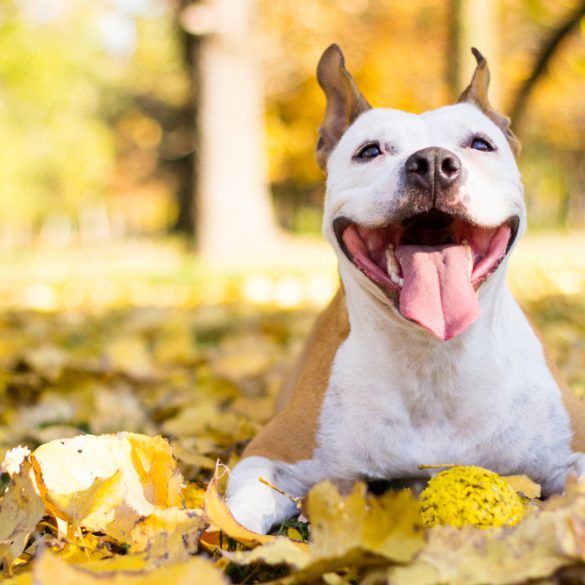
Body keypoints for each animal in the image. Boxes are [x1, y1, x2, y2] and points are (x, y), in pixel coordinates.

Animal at [224, 43, 584, 532]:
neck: (432, 358)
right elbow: (235, 514)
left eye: (480, 144)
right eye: (369, 151)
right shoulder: (268, 455)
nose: (432, 162)